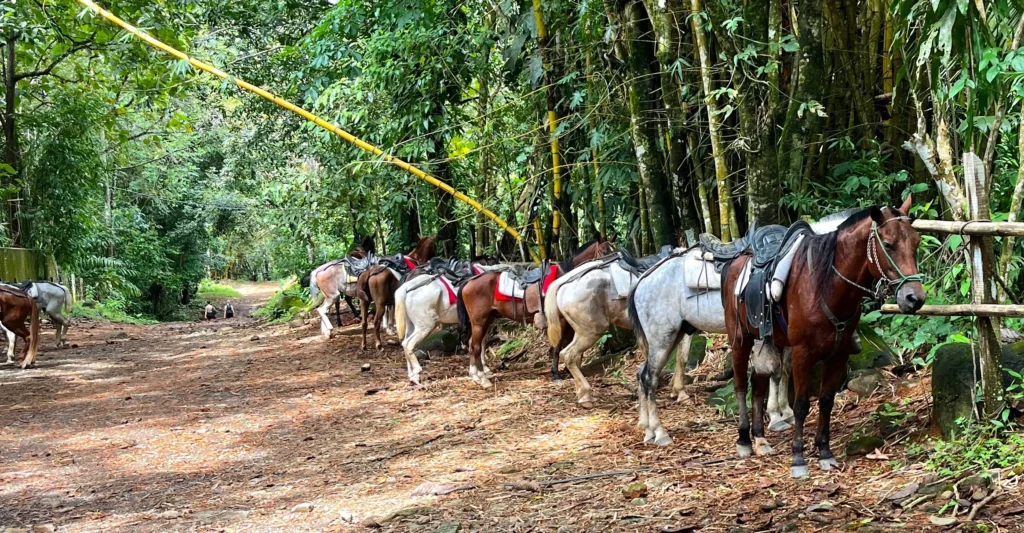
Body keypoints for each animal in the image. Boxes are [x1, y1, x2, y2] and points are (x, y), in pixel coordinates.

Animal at [458, 240, 614, 386]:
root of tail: (469, 282)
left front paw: (570, 370)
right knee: (476, 346)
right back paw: (482, 378)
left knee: (473, 344)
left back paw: (476, 375)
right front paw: (556, 374)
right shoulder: (559, 321)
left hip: (488, 319)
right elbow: (558, 347)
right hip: (478, 321)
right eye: (604, 251)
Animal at [720, 195, 929, 478]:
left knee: (759, 382)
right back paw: (744, 440)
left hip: (769, 339)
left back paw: (760, 439)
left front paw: (825, 452)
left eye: (916, 242)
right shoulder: (802, 353)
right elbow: (800, 405)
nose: (914, 298)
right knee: (741, 384)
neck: (826, 284)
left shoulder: (838, 354)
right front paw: (798, 459)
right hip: (740, 339)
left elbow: (826, 401)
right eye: (888, 244)